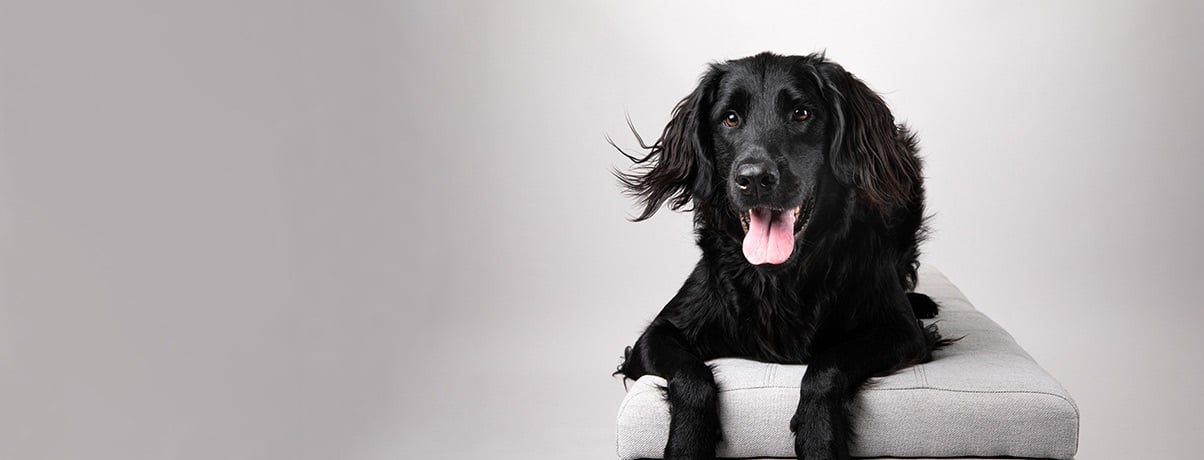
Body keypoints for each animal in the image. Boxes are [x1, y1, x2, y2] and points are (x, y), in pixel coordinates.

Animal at [616, 53, 943, 460]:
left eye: (801, 113)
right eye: (730, 118)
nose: (754, 178)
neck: (779, 276)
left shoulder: (900, 331)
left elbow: (826, 366)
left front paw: (819, 440)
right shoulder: (656, 334)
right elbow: (692, 376)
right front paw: (686, 446)